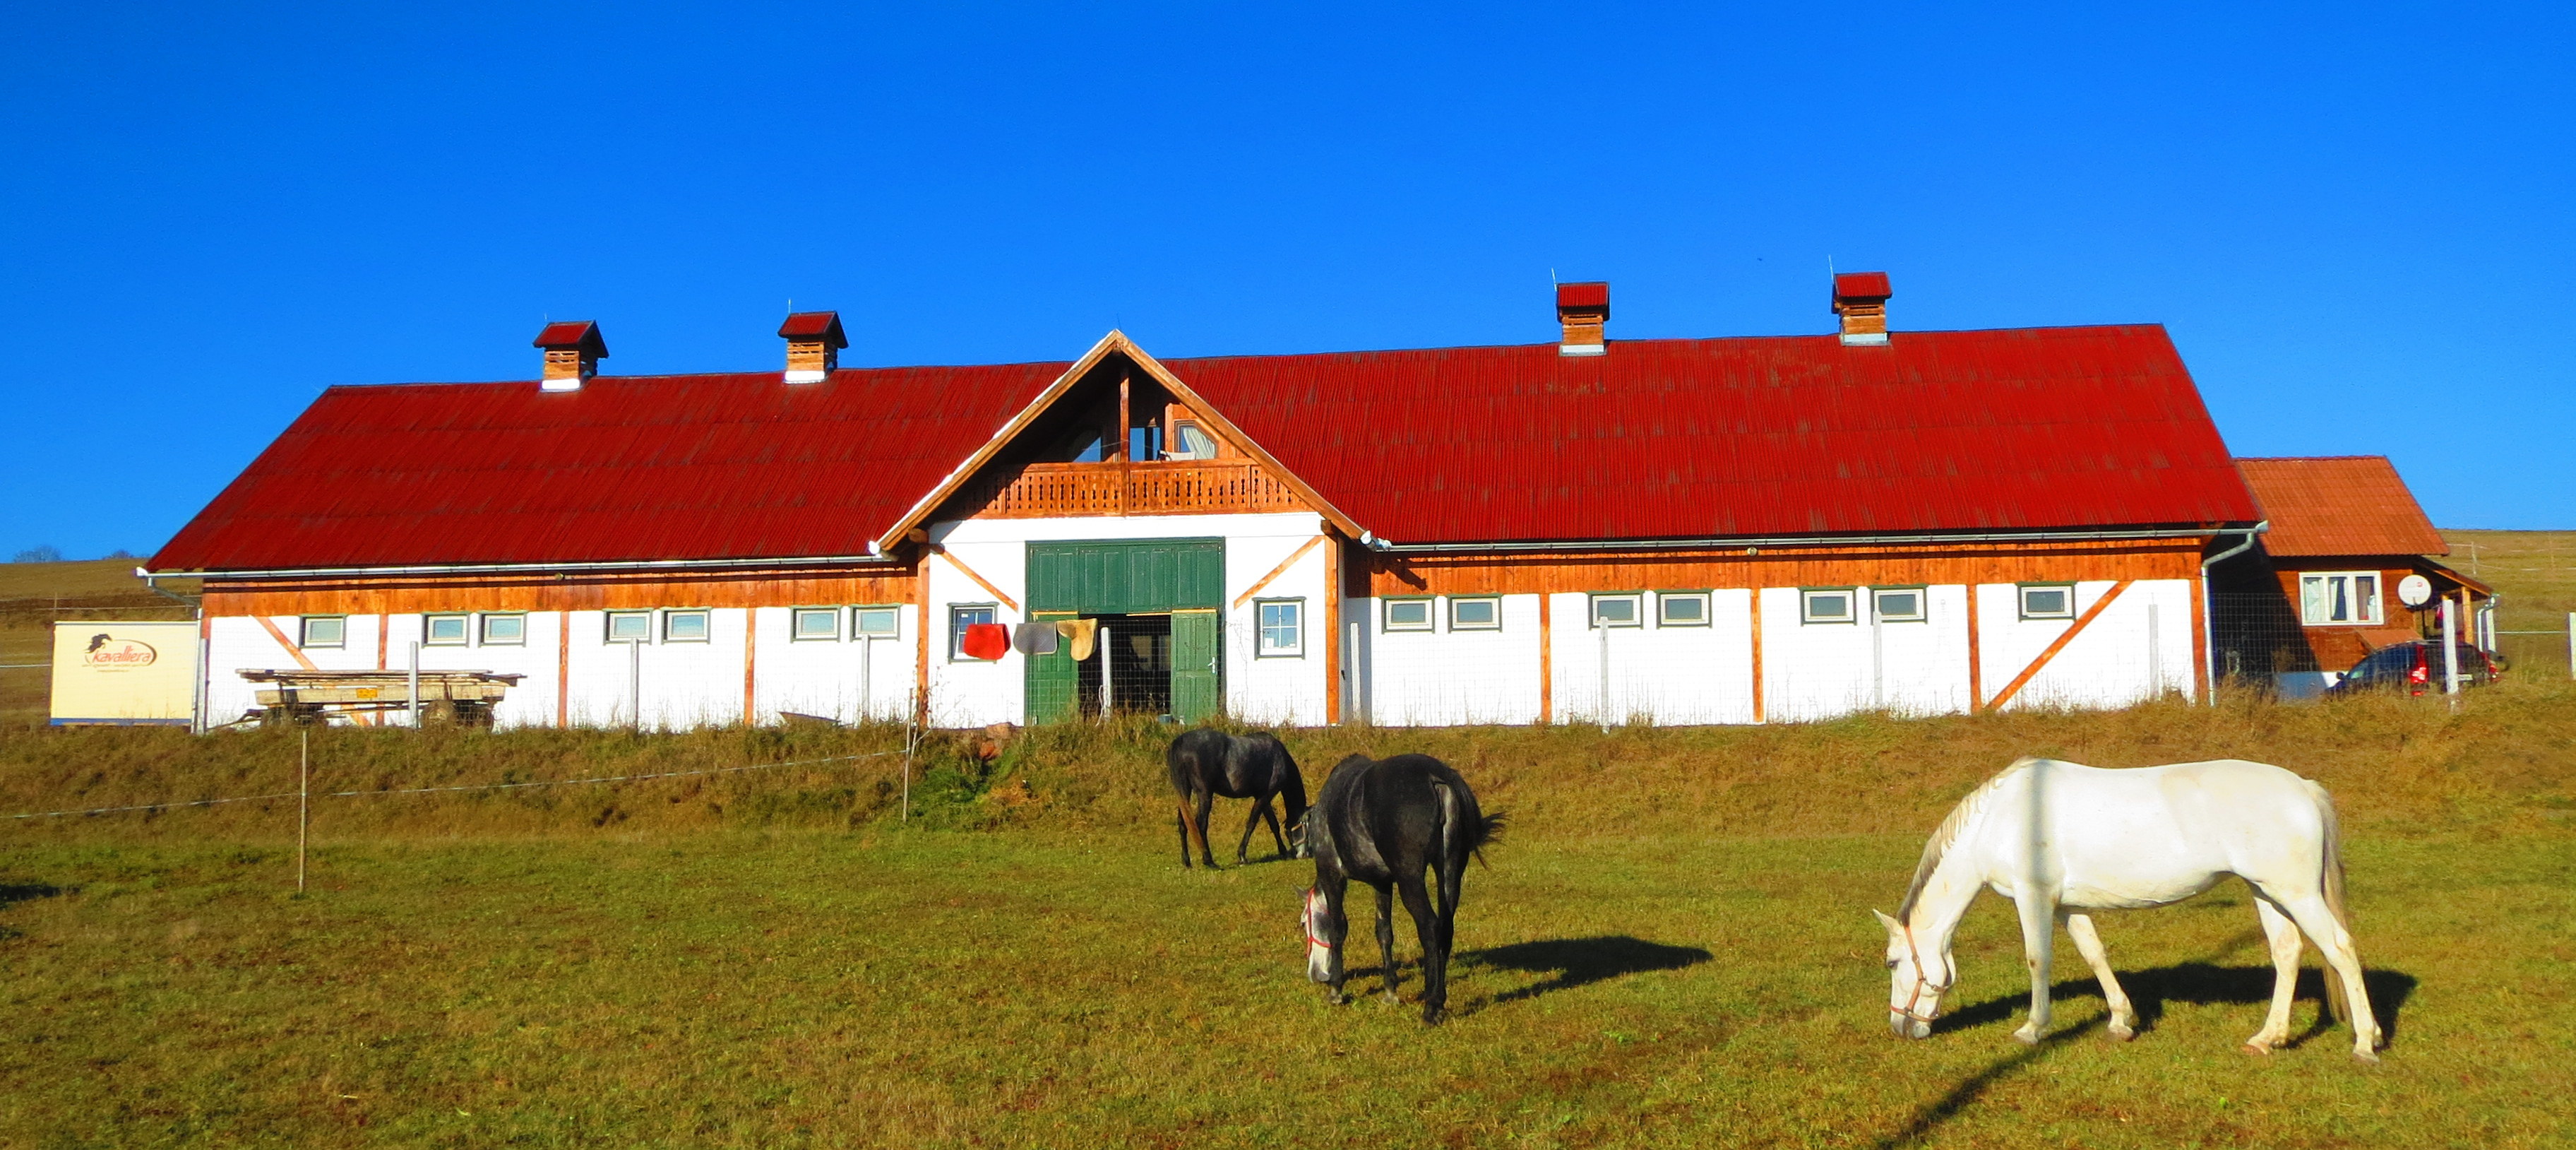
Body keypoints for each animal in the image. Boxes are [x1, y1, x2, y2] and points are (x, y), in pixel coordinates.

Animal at [1179, 732, 1318, 866]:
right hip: (1204, 795)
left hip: (1185, 793)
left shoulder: (1262, 796)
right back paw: (1209, 861)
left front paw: (1283, 851)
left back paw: (1187, 861)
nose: (1303, 854)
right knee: (1200, 825)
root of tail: (1181, 744)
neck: (1280, 757)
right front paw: (1242, 855)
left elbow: (1273, 824)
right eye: (1307, 826)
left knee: (1183, 823)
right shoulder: (1265, 796)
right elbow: (1252, 823)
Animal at [1298, 752, 1504, 1026]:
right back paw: (1439, 1001)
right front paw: (1390, 991)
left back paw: (1431, 1008)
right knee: (1446, 928)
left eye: (1304, 922)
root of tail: (1436, 778)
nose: (1315, 975)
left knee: (1430, 927)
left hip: (1410, 879)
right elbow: (1384, 933)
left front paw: (1336, 990)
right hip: (1450, 871)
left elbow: (1338, 929)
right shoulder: (1382, 883)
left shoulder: (1332, 875)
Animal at [1885, 752, 2380, 1062]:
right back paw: (2267, 1038)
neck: (2005, 816)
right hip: (2266, 891)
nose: (1900, 1029)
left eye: (1892, 963)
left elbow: (2037, 960)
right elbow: (2094, 954)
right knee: (2287, 952)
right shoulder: (2066, 905)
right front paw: (2121, 1021)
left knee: (2340, 948)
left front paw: (2033, 1029)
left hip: (2296, 893)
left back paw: (2365, 1043)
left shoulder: (2033, 897)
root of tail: (2303, 787)